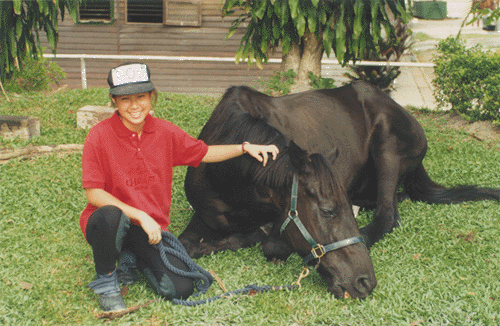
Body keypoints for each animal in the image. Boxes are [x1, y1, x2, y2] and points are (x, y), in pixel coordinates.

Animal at [178, 80, 498, 300]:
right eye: (328, 210)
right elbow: (187, 245)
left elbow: (268, 243)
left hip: (387, 146)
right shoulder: (204, 217)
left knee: (387, 214)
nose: (364, 281)